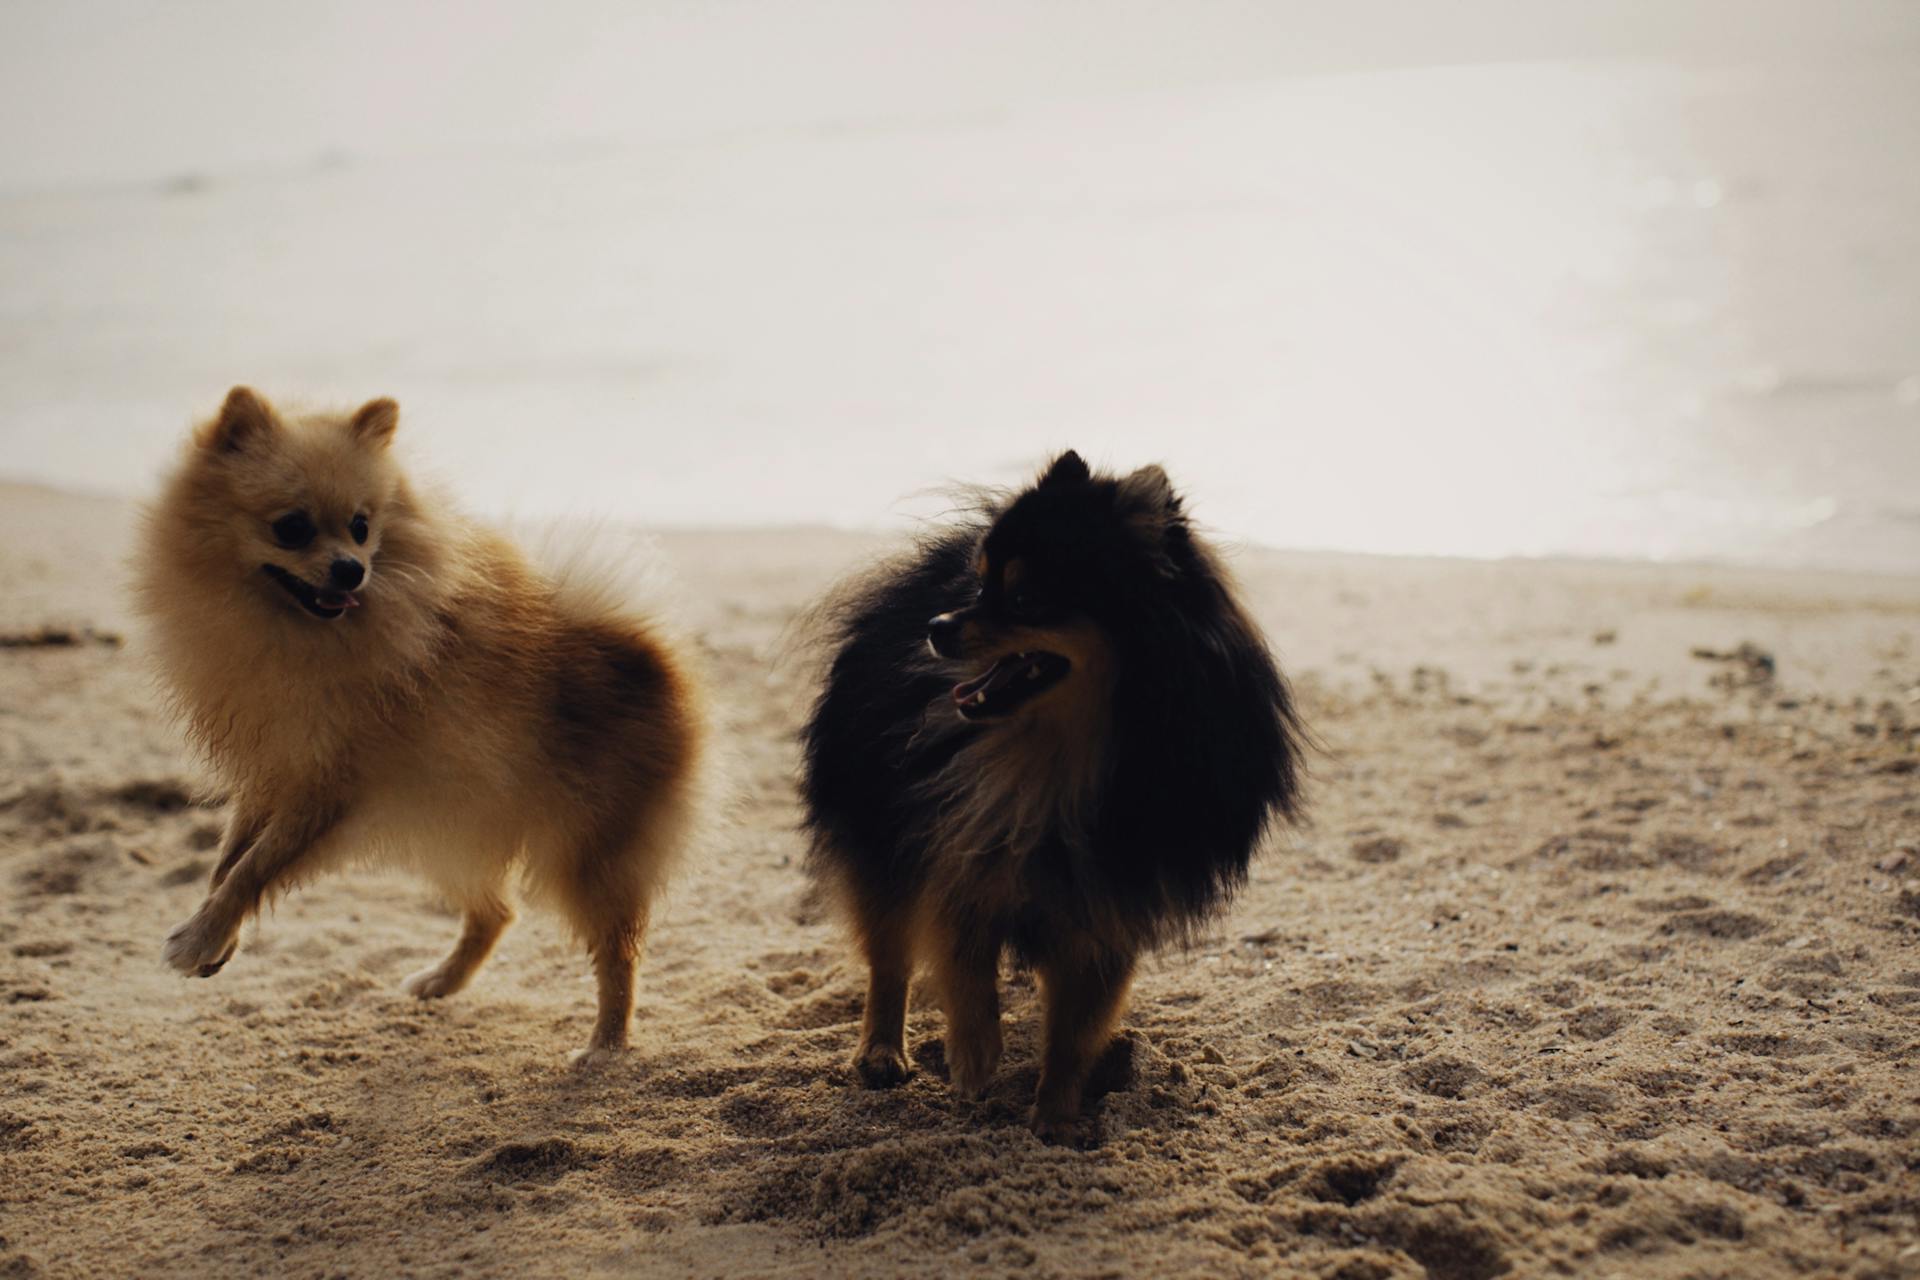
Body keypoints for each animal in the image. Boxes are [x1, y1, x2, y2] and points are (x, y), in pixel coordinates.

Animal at [139, 387, 706, 1059]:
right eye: (293, 527)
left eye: (362, 526)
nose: (351, 569)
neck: (302, 635)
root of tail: (647, 649)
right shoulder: (274, 773)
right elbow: (229, 862)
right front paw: (215, 938)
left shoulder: (328, 789)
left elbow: (255, 867)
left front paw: (200, 939)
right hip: (454, 824)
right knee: (497, 912)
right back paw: (442, 980)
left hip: (591, 853)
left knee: (616, 951)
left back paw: (607, 1043)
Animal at [794, 452, 1305, 1143]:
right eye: (979, 585)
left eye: (1024, 598)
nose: (936, 625)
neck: (1055, 760)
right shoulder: (959, 844)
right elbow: (962, 960)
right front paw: (974, 1056)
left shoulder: (1111, 898)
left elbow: (1075, 1026)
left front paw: (1058, 1119)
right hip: (879, 830)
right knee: (889, 954)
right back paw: (881, 1051)